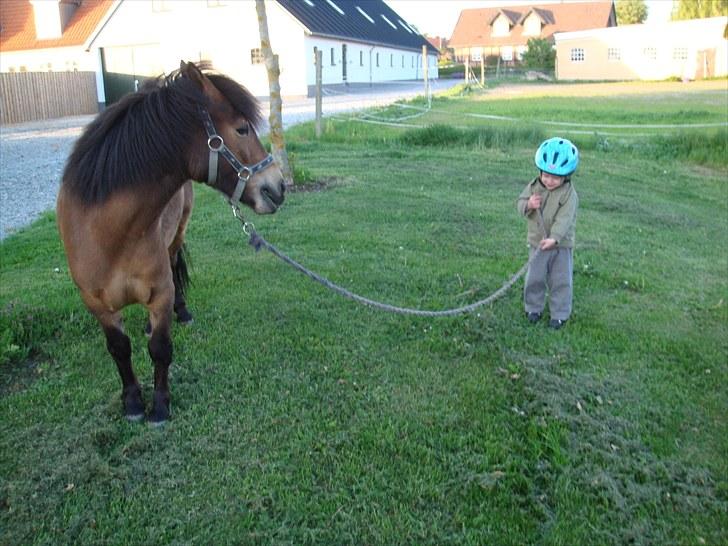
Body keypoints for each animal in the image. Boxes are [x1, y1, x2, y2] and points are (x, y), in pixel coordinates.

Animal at [57, 61, 284, 422]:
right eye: (241, 129)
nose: (278, 187)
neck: (108, 234)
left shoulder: (160, 293)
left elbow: (160, 349)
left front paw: (160, 406)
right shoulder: (96, 304)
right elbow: (119, 349)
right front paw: (133, 402)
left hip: (177, 235)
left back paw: (182, 312)